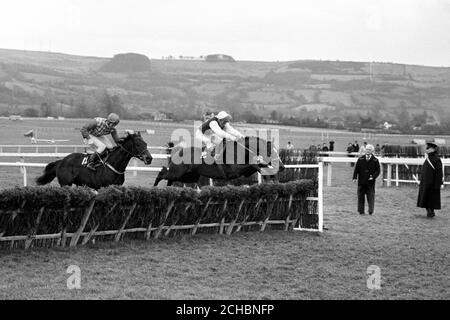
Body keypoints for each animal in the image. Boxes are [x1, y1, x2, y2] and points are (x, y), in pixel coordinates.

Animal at [153, 136, 284, 186]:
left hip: (190, 176)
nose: (282, 167)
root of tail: (176, 151)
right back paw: (155, 185)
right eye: (270, 152)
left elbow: (258, 167)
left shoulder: (246, 172)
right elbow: (254, 166)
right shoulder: (235, 170)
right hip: (178, 172)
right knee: (163, 173)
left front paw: (273, 179)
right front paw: (270, 179)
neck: (242, 150)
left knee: (170, 179)